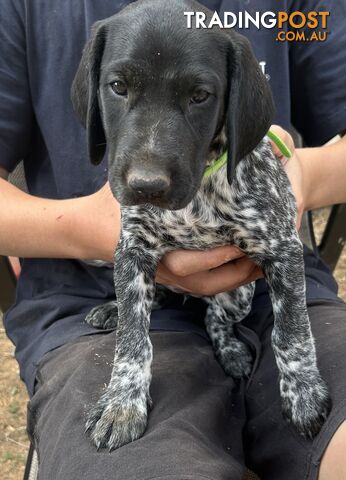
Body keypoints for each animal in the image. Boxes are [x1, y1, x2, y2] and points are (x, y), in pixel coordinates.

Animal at [71, 0, 332, 450]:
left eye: (200, 96)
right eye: (118, 86)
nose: (147, 187)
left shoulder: (282, 250)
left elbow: (292, 331)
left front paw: (303, 394)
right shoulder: (132, 250)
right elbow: (132, 338)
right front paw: (122, 402)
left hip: (238, 294)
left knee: (214, 319)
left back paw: (231, 351)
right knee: (150, 300)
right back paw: (112, 308)